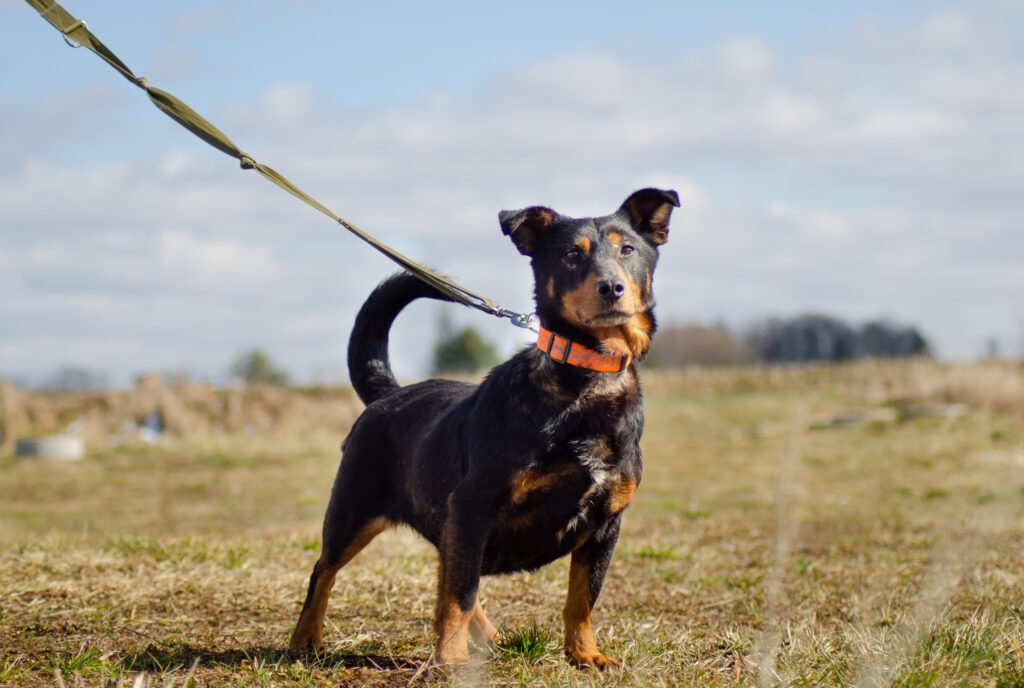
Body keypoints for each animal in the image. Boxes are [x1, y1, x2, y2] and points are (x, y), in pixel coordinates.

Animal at [288, 186, 679, 667]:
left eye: (628, 249)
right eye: (571, 255)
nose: (611, 287)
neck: (587, 380)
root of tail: (386, 395)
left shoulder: (606, 524)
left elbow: (582, 598)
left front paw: (584, 654)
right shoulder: (473, 507)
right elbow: (460, 592)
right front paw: (452, 659)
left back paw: (489, 639)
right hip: (353, 510)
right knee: (324, 570)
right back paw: (305, 639)